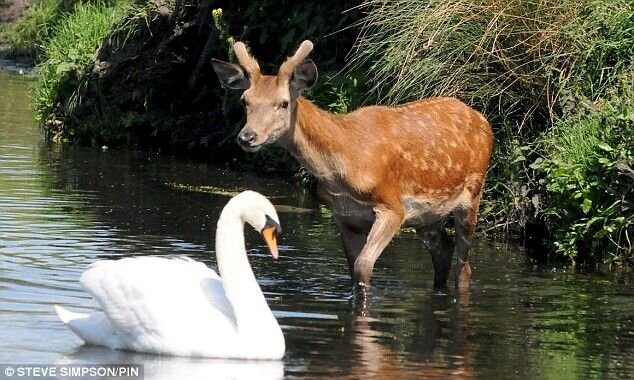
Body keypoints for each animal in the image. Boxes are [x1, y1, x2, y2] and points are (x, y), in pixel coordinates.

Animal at [212, 40, 494, 290]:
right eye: (245, 101)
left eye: (283, 103)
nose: (247, 136)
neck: (345, 163)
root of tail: (484, 120)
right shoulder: (345, 216)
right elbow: (352, 270)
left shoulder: (392, 206)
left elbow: (363, 266)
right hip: (426, 215)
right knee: (443, 251)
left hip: (472, 194)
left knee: (464, 267)